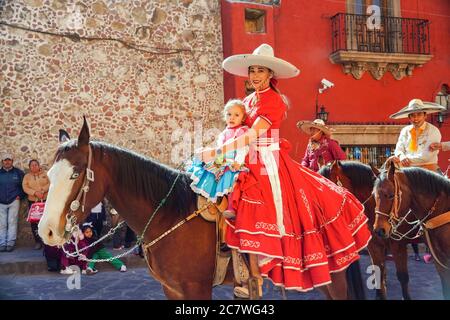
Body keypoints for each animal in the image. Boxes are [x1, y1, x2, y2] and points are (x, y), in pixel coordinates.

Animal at [39, 118, 366, 300]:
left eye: (75, 173)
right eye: (49, 174)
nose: (47, 230)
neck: (169, 214)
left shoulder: (195, 288)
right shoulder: (172, 289)